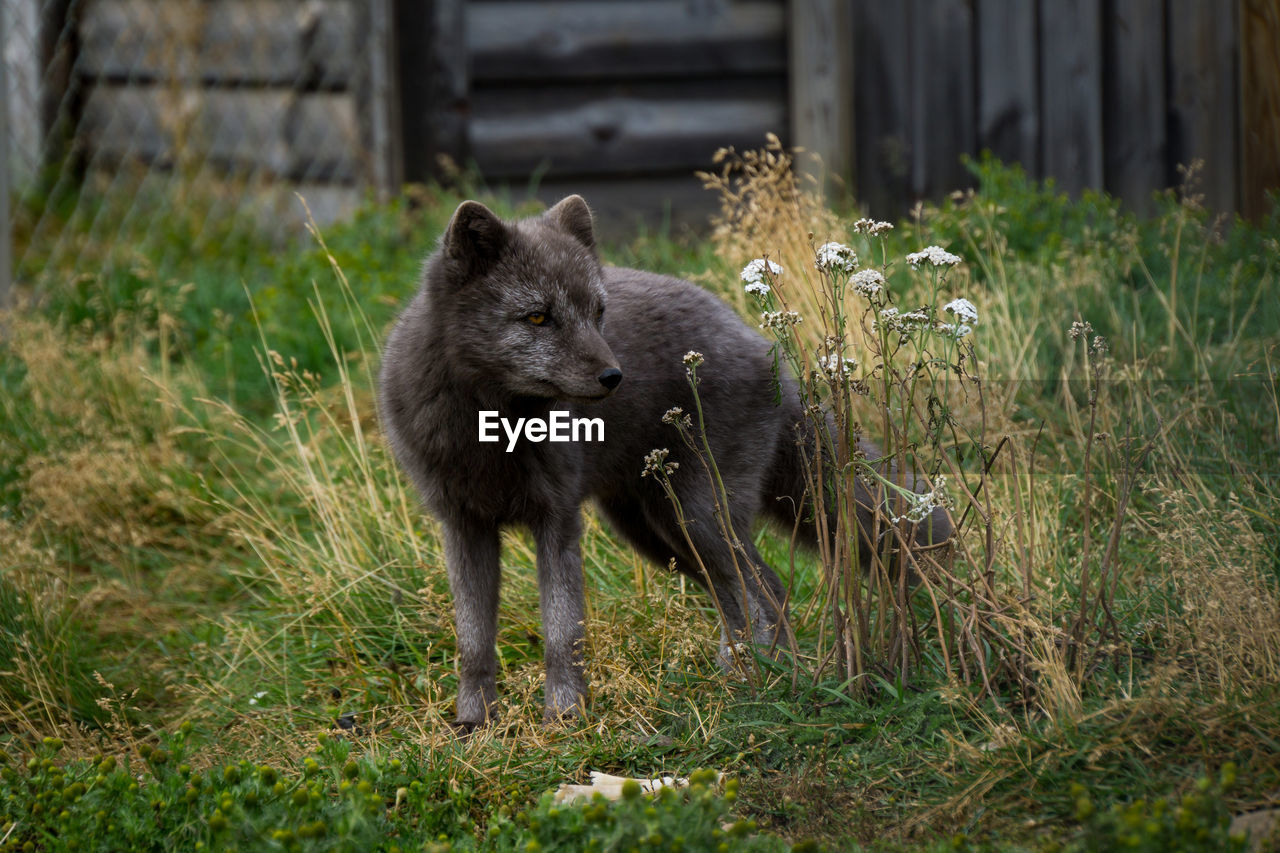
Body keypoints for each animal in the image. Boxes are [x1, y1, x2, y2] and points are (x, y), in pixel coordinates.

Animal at [378, 194, 952, 722]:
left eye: (598, 313)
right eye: (538, 316)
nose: (614, 377)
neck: (493, 429)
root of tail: (772, 355)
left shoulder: (557, 520)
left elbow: (563, 631)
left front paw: (565, 717)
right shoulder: (463, 526)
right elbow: (473, 640)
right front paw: (474, 722)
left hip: (699, 518)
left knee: (765, 588)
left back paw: (760, 681)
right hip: (656, 531)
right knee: (740, 595)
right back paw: (747, 673)